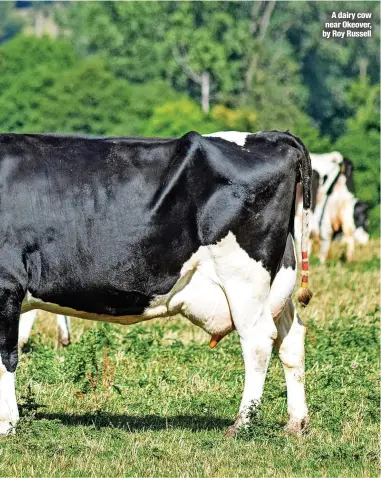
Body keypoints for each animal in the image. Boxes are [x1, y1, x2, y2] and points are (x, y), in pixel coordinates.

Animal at [0, 131, 312, 436]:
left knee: (258, 340)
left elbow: (6, 357)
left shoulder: (7, 284)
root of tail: (272, 136)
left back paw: (241, 424)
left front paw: (6, 424)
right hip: (274, 286)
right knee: (291, 338)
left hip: (243, 279)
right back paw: (296, 423)